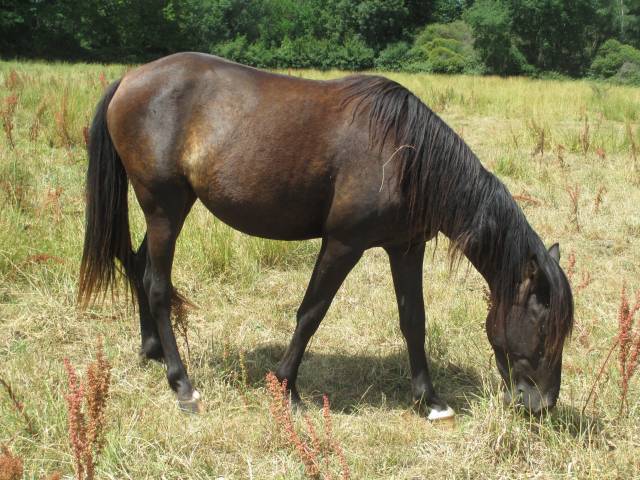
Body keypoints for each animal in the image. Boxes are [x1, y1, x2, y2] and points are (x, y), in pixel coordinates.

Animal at [78, 53, 573, 419]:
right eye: (544, 329)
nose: (542, 406)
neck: (404, 155)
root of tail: (130, 78)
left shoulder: (405, 248)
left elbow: (414, 320)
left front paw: (431, 401)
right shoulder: (343, 244)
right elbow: (311, 313)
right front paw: (286, 388)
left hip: (169, 209)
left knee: (138, 266)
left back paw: (153, 352)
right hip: (164, 207)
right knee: (158, 285)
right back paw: (182, 384)